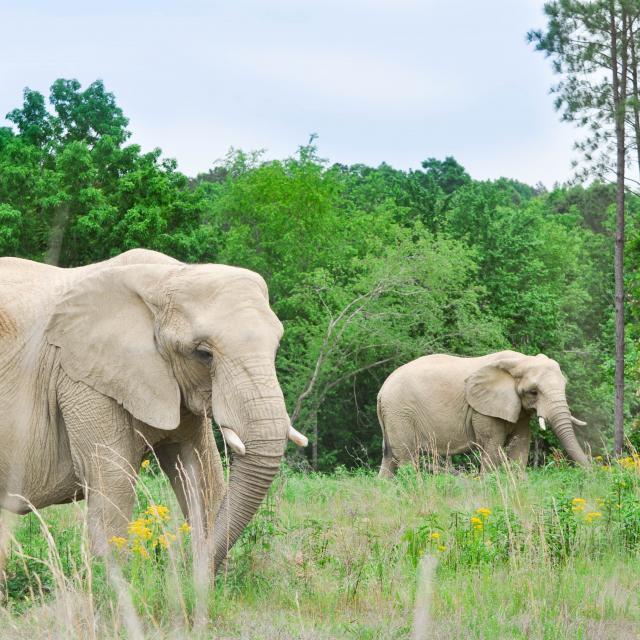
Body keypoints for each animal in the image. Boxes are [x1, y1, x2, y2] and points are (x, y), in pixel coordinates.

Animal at [0, 248, 307, 571]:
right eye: (203, 354)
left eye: (276, 348)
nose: (186, 565)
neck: (166, 278)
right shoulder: (82, 379)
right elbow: (113, 478)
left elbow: (200, 469)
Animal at [377, 350, 589, 477]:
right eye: (533, 392)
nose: (591, 474)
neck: (520, 361)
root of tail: (380, 392)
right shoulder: (483, 410)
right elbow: (491, 445)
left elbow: (520, 445)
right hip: (401, 412)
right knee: (406, 457)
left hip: (394, 415)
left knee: (389, 458)